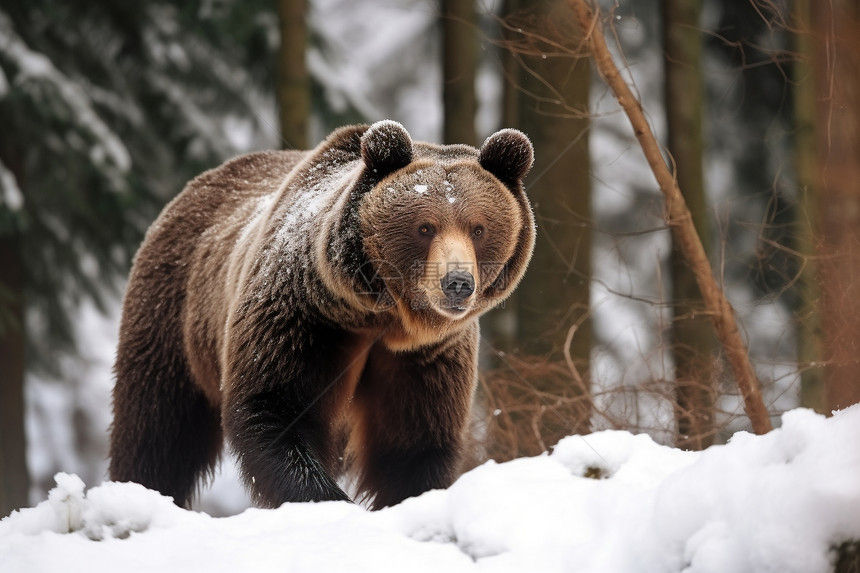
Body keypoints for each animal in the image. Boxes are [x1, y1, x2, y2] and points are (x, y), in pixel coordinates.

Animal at [109, 120, 536, 510]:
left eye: (478, 228)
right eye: (425, 227)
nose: (458, 283)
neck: (384, 318)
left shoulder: (425, 356)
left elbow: (414, 442)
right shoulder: (306, 318)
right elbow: (275, 409)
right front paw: (328, 501)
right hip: (173, 310)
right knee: (158, 426)